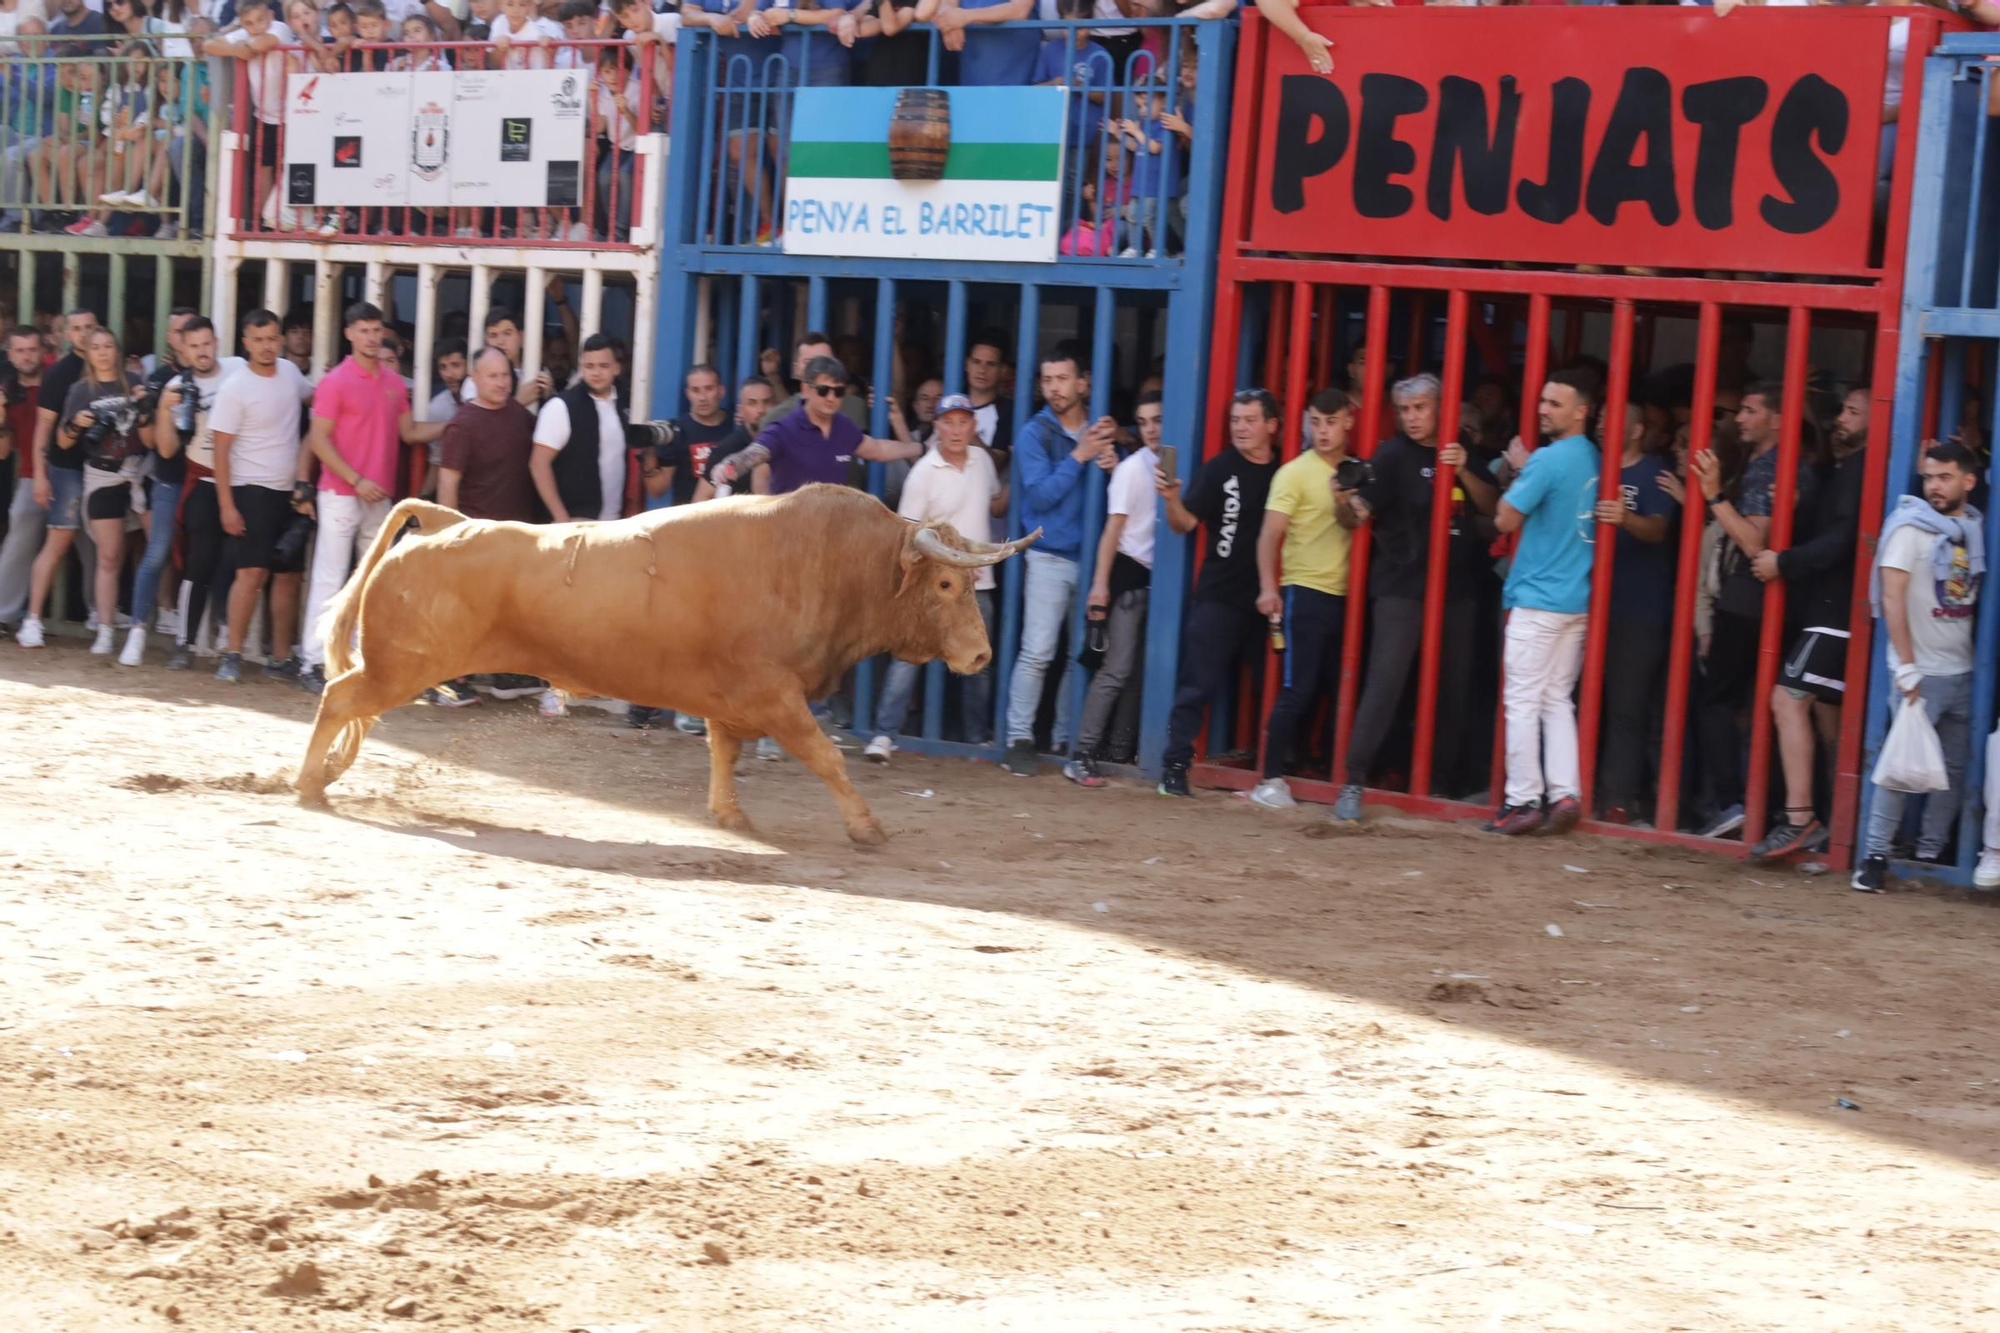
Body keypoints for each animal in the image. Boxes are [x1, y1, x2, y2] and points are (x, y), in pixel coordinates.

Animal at [300, 486, 1048, 840]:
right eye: (946, 584)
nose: (981, 653)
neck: (828, 562)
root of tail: (447, 522)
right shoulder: (777, 696)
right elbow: (826, 757)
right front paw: (867, 827)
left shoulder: (733, 698)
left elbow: (723, 752)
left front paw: (729, 815)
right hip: (403, 667)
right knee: (341, 698)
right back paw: (309, 785)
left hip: (402, 667)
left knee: (352, 705)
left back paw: (326, 775)